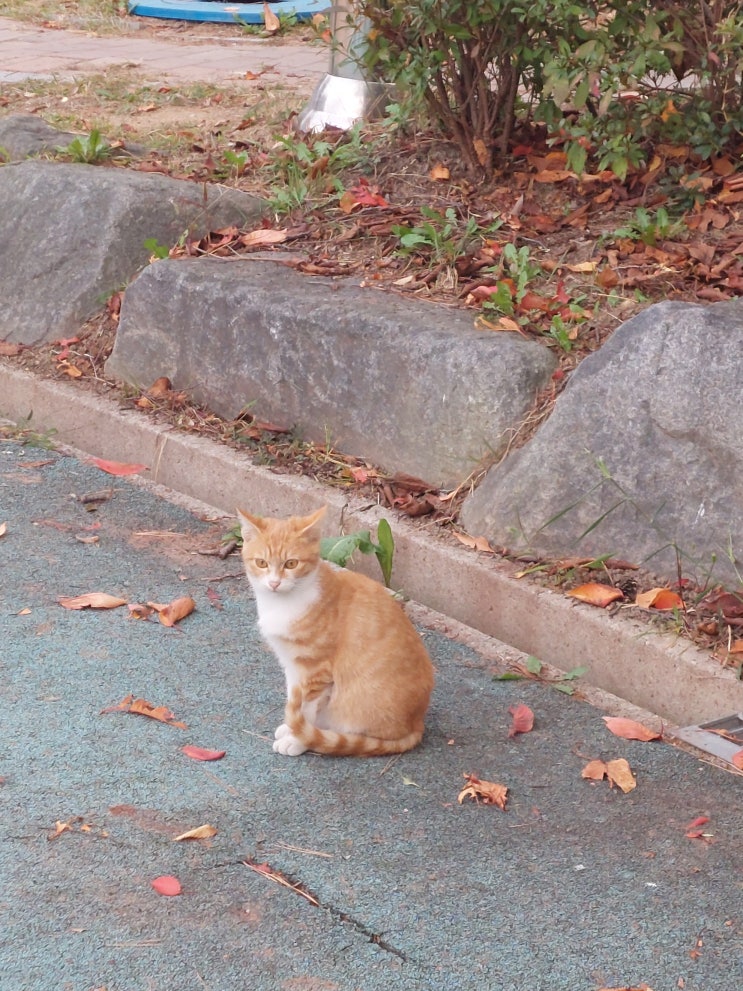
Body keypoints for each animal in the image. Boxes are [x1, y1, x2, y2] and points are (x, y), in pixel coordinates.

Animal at [238, 508, 436, 756]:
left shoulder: (317, 671)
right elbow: (295, 700)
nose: (274, 583)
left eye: (291, 563)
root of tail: (417, 723)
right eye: (261, 563)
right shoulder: (292, 665)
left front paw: (299, 740)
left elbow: (306, 710)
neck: (282, 604)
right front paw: (291, 727)